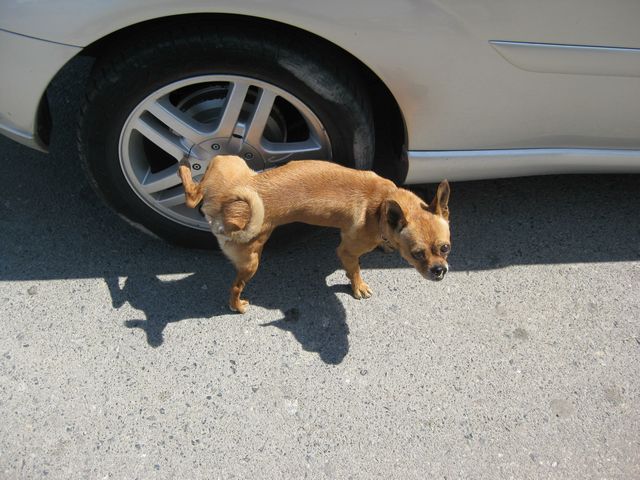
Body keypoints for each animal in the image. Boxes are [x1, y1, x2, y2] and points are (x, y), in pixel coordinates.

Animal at [178, 156, 452, 314]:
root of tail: (222, 210)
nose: (439, 271)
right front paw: (358, 287)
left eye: (445, 248)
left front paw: (386, 245)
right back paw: (237, 306)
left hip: (226, 162)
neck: (382, 202)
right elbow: (354, 270)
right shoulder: (347, 251)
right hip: (251, 261)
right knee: (235, 286)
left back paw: (183, 166)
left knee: (192, 195)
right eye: (417, 254)